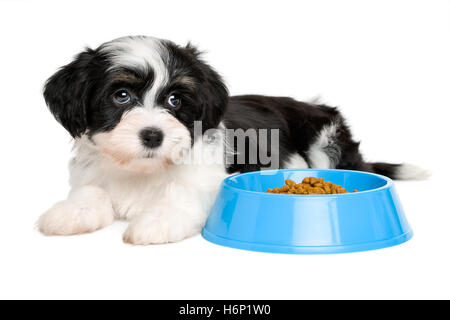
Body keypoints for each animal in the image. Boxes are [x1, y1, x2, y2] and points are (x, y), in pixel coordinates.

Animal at [37, 36, 428, 244]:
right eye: (121, 96)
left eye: (175, 100)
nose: (152, 135)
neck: (141, 170)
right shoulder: (92, 171)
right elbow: (90, 191)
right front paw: (70, 212)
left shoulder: (207, 179)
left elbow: (182, 193)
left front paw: (158, 220)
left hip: (324, 139)